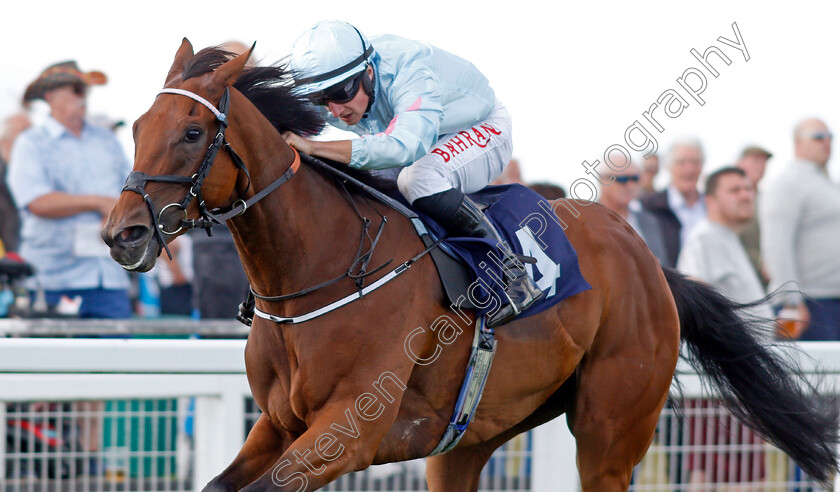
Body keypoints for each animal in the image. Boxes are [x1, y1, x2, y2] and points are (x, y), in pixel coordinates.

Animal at [101, 39, 836, 492]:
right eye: (135, 128)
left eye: (192, 132)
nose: (122, 233)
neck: (315, 273)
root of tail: (650, 262)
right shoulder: (278, 424)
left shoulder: (347, 432)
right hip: (474, 434)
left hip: (611, 429)